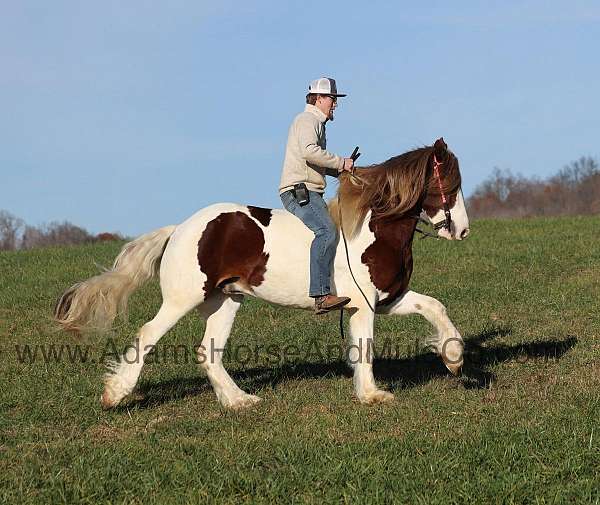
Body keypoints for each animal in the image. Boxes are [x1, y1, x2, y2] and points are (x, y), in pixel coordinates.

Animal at [55, 136, 468, 408]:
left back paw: (239, 400)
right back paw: (115, 394)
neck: (372, 228)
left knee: (209, 352)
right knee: (148, 335)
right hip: (183, 298)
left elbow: (436, 306)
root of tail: (180, 228)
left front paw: (454, 359)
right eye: (450, 184)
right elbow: (364, 347)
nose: (462, 231)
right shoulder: (364, 304)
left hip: (225, 300)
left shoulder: (388, 299)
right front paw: (372, 395)